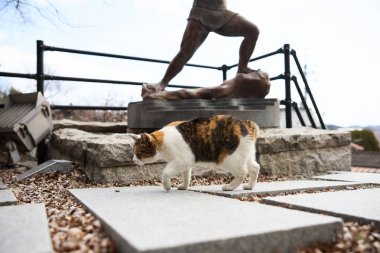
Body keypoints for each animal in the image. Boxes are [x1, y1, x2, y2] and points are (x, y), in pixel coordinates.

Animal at [132, 115, 260, 192]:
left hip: (229, 158)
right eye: (133, 153)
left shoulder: (182, 160)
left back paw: (229, 187)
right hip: (247, 156)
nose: (133, 160)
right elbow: (186, 176)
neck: (162, 141)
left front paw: (167, 186)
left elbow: (166, 172)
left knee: (243, 172)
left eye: (138, 153)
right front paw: (184, 186)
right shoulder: (186, 163)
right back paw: (249, 186)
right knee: (255, 167)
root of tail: (247, 123)